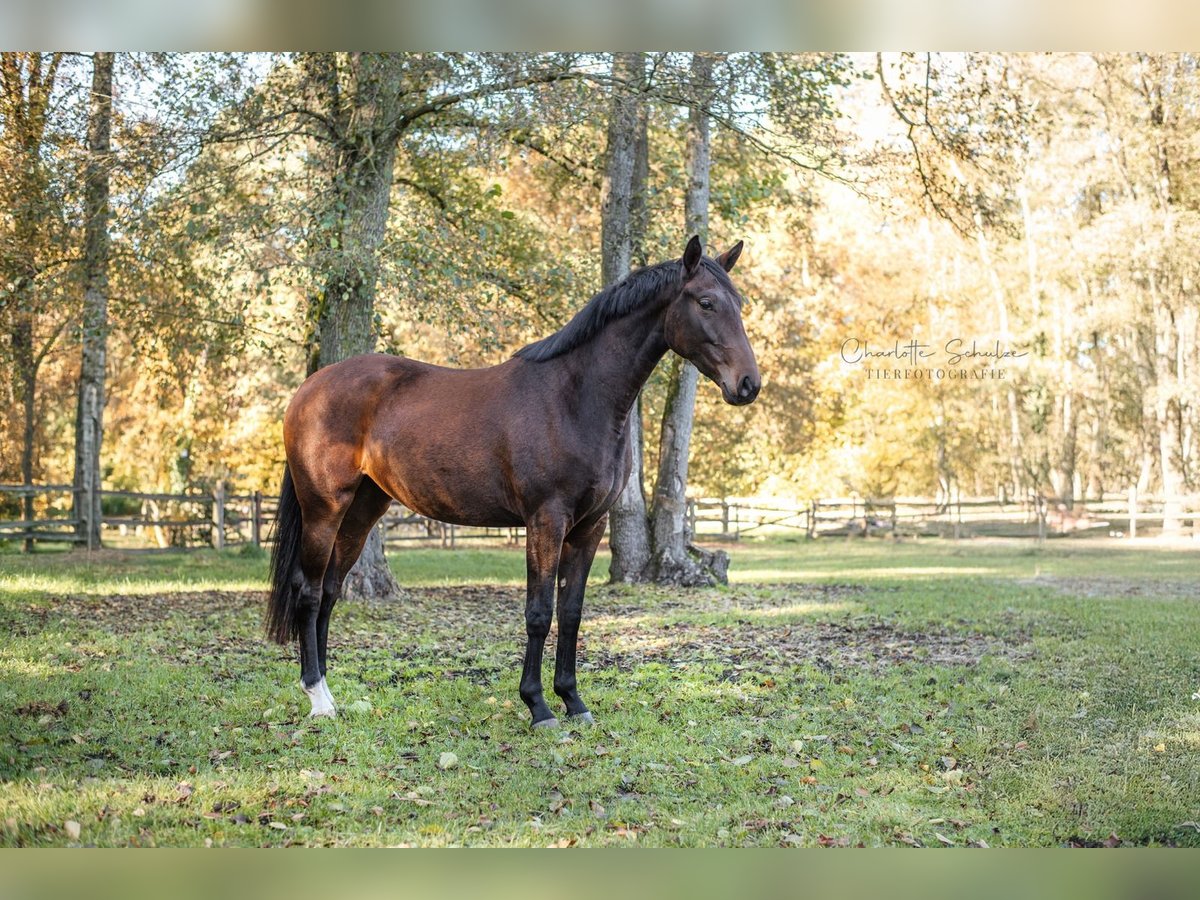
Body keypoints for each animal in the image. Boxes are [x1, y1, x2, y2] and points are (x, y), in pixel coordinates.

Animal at [268, 236, 763, 729]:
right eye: (706, 302)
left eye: (739, 304)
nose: (748, 384)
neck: (575, 397)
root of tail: (309, 389)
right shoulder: (546, 520)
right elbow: (539, 613)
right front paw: (538, 706)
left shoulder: (590, 527)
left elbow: (571, 611)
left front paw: (574, 701)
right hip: (324, 508)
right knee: (309, 592)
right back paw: (317, 696)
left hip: (363, 509)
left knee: (330, 591)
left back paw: (333, 692)